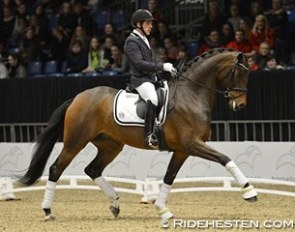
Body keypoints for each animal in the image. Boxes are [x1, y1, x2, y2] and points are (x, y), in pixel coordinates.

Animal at [19, 48, 258, 221]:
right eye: (240, 72)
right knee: (56, 169)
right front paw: (249, 192)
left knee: (92, 169)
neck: (191, 95)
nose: (240, 106)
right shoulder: (192, 144)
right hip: (75, 142)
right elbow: (225, 159)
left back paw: (115, 204)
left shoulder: (182, 150)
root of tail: (77, 98)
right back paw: (48, 211)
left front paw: (162, 210)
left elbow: (169, 177)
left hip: (111, 146)